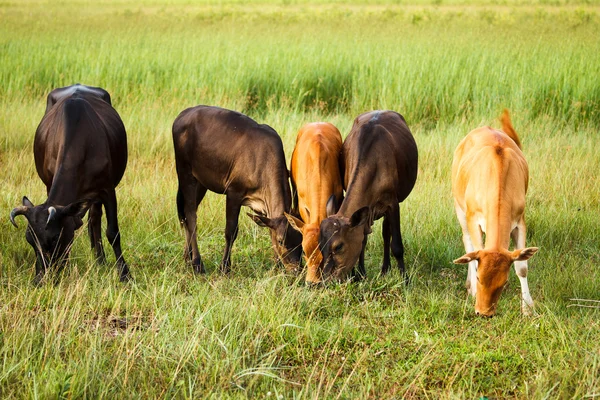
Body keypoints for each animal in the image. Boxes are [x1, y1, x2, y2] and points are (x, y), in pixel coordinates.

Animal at [8, 83, 131, 284]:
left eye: (54, 238)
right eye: (29, 240)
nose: (40, 279)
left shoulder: (107, 189)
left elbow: (113, 232)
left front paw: (125, 275)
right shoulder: (49, 183)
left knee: (94, 221)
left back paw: (100, 261)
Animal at [172, 104, 304, 274]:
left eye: (301, 240)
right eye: (282, 241)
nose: (295, 269)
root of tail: (184, 113)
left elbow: (269, 230)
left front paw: (277, 264)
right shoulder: (234, 193)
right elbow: (231, 231)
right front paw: (224, 267)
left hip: (201, 182)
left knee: (187, 214)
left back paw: (187, 257)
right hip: (185, 173)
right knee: (190, 215)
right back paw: (197, 263)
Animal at [318, 110, 418, 282]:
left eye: (339, 246)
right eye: (320, 245)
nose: (326, 280)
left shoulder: (393, 203)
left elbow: (397, 245)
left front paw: (405, 279)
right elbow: (362, 239)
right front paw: (360, 274)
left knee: (386, 233)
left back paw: (385, 269)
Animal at [452, 109, 540, 316]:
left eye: (504, 281)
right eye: (479, 278)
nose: (484, 313)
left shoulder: (520, 221)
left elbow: (522, 267)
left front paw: (527, 307)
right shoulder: (472, 219)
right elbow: (474, 253)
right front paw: (474, 291)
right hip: (460, 210)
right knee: (467, 244)